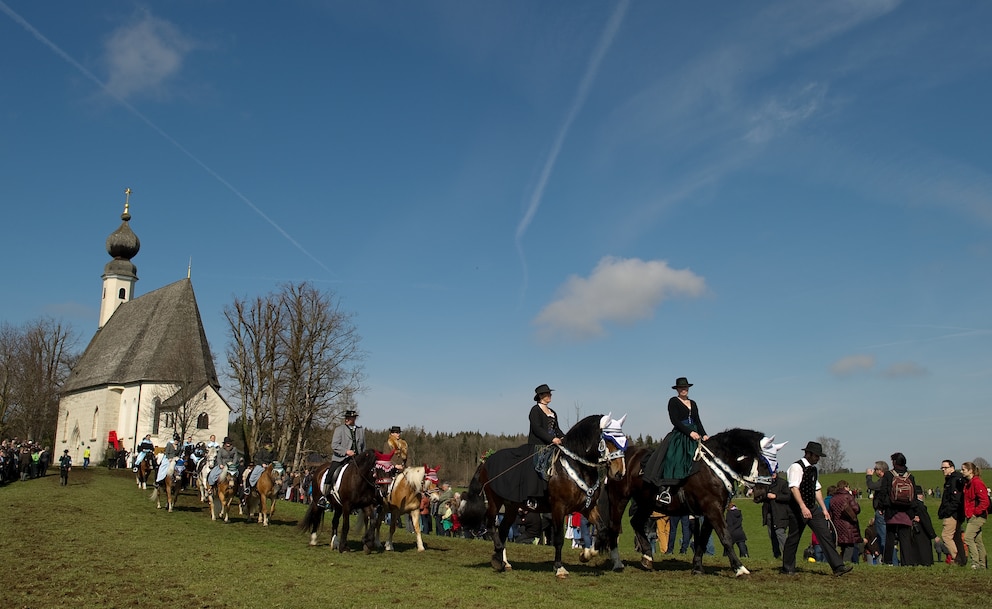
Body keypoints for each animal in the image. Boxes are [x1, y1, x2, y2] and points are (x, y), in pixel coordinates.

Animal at [460, 410, 628, 576]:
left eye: (624, 441)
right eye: (609, 439)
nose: (619, 473)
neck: (578, 466)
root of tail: (486, 461)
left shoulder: (588, 507)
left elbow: (603, 530)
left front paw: (585, 554)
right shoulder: (559, 508)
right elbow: (558, 538)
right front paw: (559, 568)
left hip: (511, 507)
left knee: (503, 530)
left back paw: (503, 562)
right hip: (495, 501)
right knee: (490, 526)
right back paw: (498, 557)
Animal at [592, 428, 780, 576]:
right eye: (765, 463)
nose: (762, 494)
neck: (715, 468)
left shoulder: (711, 511)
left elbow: (703, 540)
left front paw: (697, 567)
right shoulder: (712, 509)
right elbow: (726, 537)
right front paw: (740, 569)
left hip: (646, 503)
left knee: (636, 522)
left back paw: (647, 557)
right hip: (619, 500)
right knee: (614, 528)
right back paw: (618, 563)